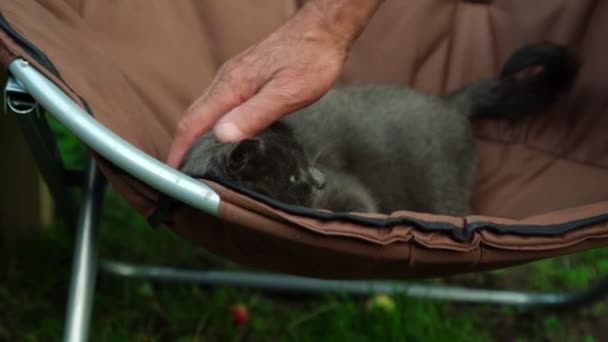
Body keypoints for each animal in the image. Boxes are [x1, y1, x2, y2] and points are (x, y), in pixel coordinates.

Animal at [178, 42, 576, 214]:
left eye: (307, 158)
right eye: (292, 175)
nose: (320, 180)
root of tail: (450, 103)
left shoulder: (350, 191)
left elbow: (360, 205)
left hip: (441, 192)